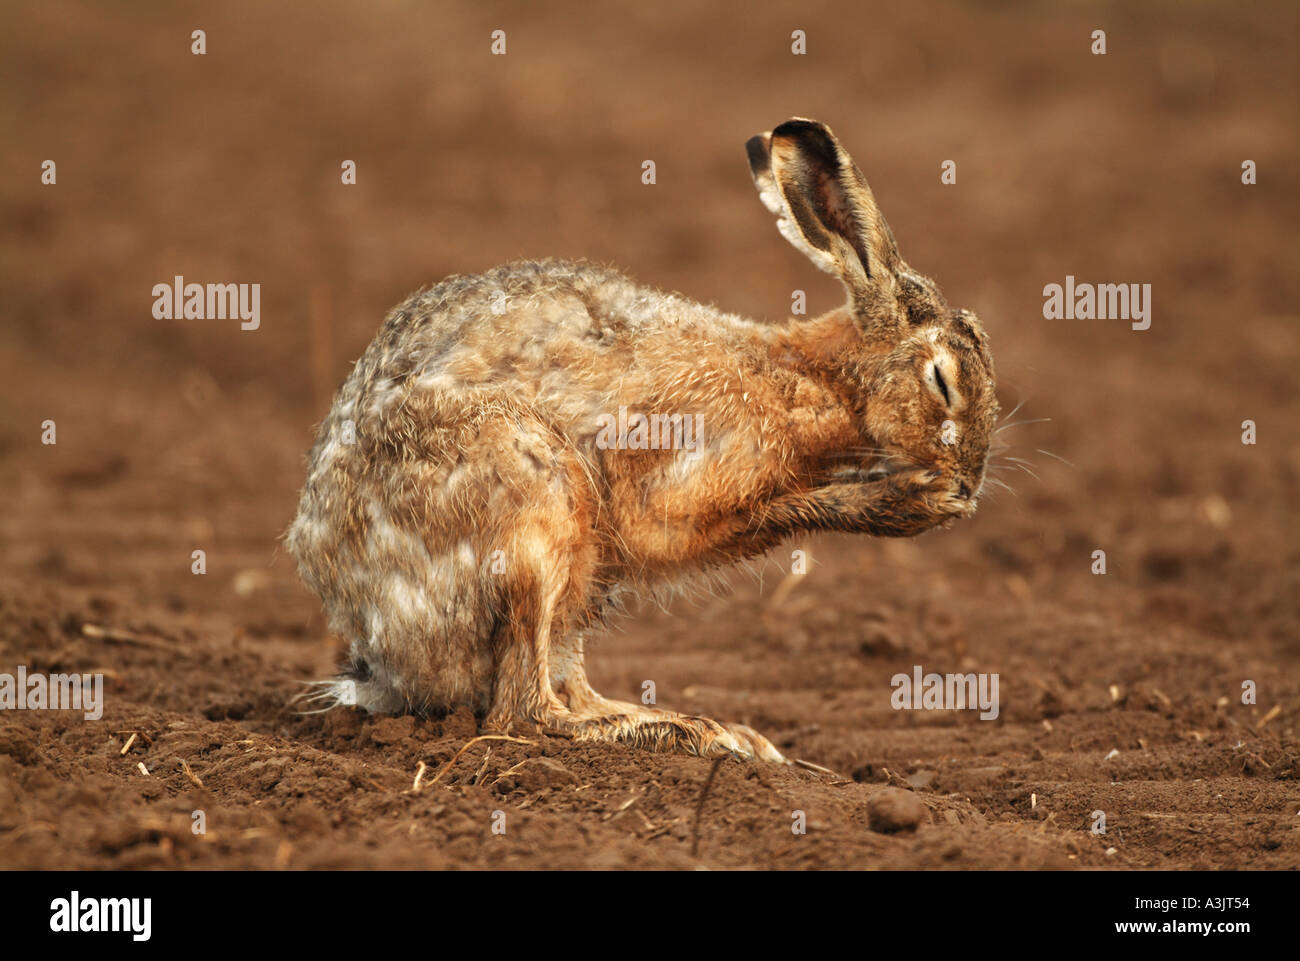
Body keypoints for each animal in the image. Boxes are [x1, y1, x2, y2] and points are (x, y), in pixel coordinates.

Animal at [285, 118, 997, 764]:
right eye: (942, 380)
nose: (970, 481)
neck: (816, 378)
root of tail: (379, 660)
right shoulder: (673, 494)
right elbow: (758, 513)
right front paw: (910, 502)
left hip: (582, 571)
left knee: (561, 678)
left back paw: (705, 729)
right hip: (533, 509)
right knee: (523, 712)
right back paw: (678, 734)